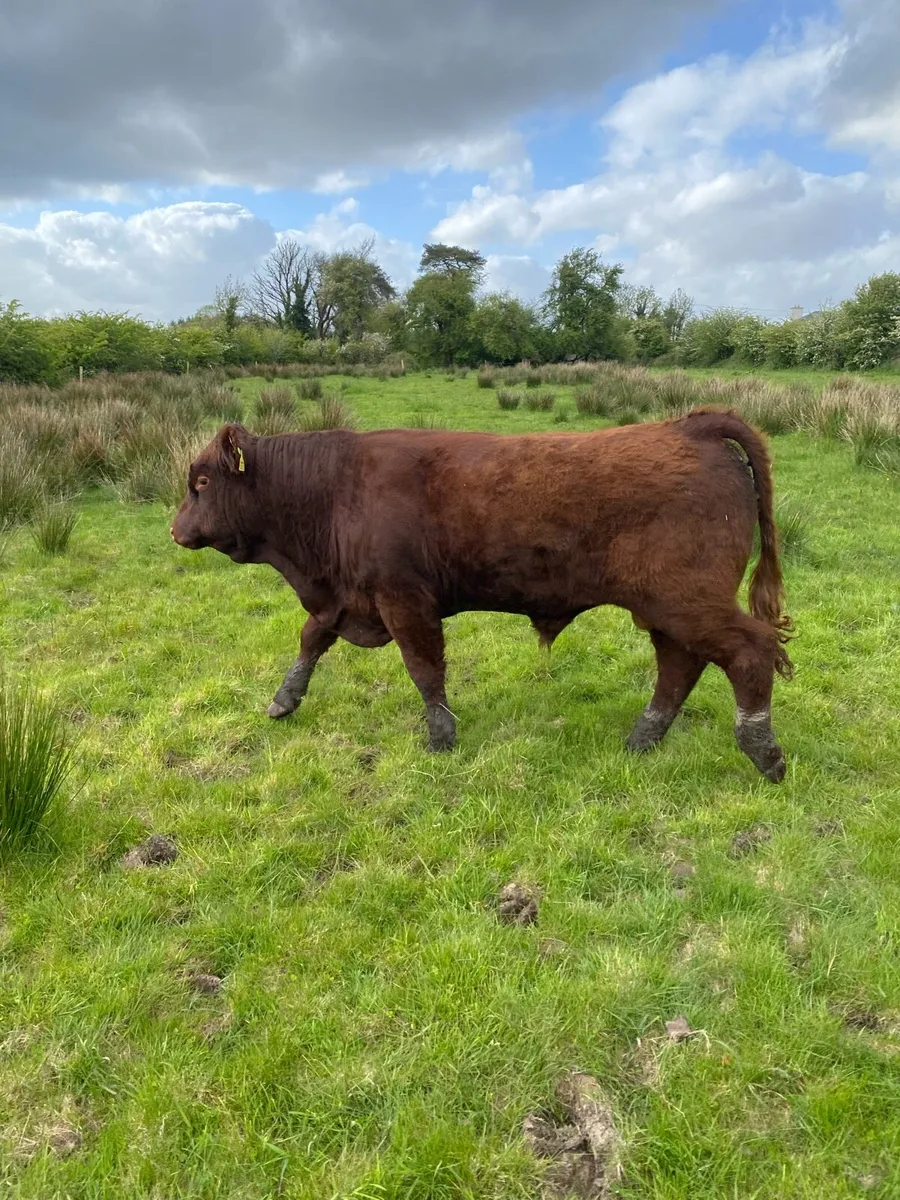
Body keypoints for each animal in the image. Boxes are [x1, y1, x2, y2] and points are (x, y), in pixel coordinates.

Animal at [170, 407, 793, 781]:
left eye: (201, 482)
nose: (175, 530)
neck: (336, 489)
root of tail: (691, 425)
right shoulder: (345, 597)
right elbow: (310, 639)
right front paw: (284, 699)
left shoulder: (404, 601)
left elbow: (424, 669)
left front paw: (440, 737)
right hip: (663, 610)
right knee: (679, 667)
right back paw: (643, 738)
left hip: (688, 602)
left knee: (749, 651)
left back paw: (763, 751)